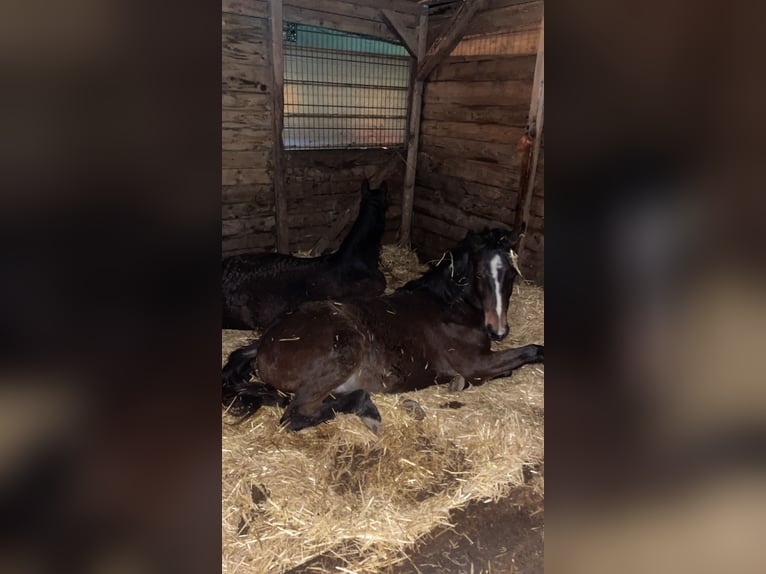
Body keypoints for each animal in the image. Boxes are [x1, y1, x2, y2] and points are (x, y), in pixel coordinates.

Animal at [222, 227, 544, 434]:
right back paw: (368, 410)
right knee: (295, 415)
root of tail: (265, 341)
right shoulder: (475, 363)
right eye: (479, 275)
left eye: (511, 274)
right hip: (345, 350)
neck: (449, 306)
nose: (498, 330)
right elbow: (531, 351)